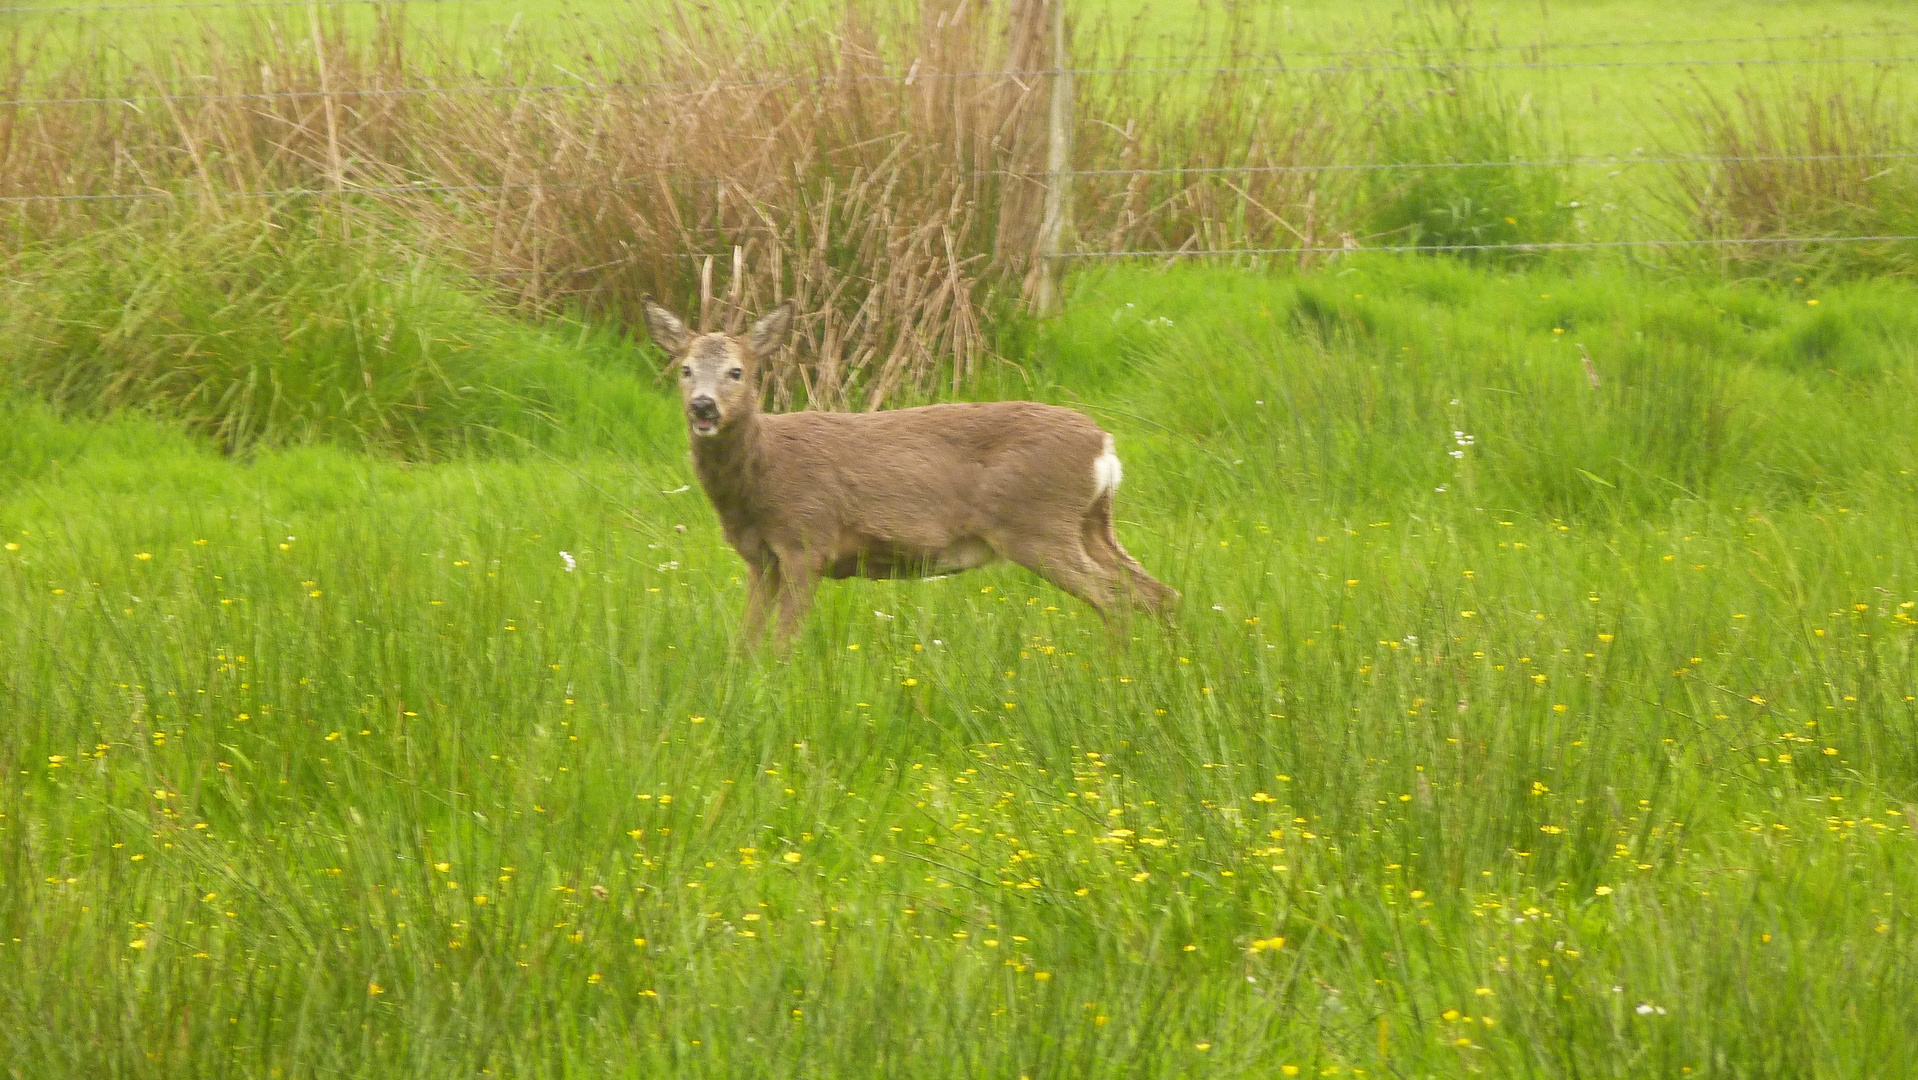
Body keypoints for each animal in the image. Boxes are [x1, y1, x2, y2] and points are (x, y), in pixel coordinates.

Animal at [644, 295, 1173, 652]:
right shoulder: (761, 558)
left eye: (737, 371)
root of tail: (1105, 446)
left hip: (1038, 525)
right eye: (685, 369)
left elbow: (783, 642)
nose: (703, 406)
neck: (762, 475)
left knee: (1114, 598)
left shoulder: (807, 539)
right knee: (1156, 592)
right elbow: (746, 641)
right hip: (1091, 522)